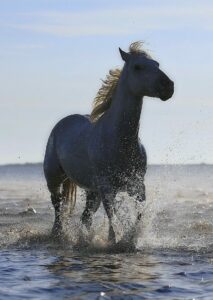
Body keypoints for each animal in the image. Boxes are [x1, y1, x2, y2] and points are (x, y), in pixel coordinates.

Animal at [42, 41, 173, 244]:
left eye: (157, 64)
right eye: (138, 67)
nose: (168, 86)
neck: (120, 141)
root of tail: (62, 123)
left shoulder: (137, 186)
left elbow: (138, 214)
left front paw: (130, 238)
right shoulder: (107, 188)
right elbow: (114, 215)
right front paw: (116, 239)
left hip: (92, 191)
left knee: (85, 217)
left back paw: (84, 239)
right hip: (54, 178)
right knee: (58, 208)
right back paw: (58, 235)